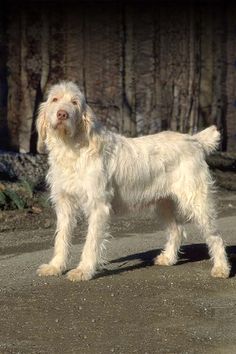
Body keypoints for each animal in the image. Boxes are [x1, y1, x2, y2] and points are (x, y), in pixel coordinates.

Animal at [36, 81, 230, 280]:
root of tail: (193, 140)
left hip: (197, 201)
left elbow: (91, 242)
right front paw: (56, 266)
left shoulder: (98, 206)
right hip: (163, 203)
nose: (62, 114)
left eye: (74, 102)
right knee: (177, 230)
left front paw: (84, 270)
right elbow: (62, 237)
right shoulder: (64, 204)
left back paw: (221, 268)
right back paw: (168, 258)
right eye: (54, 99)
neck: (72, 147)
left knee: (216, 236)